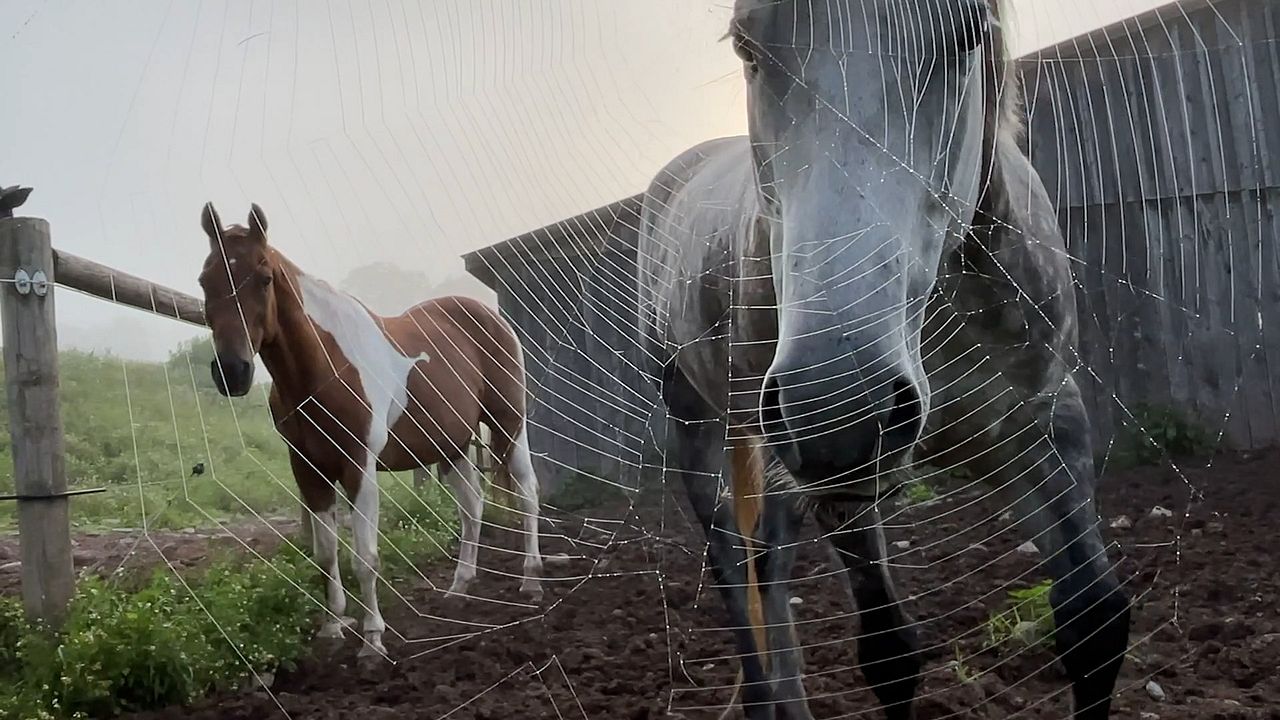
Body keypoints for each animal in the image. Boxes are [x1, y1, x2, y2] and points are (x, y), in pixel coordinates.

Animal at [196, 202, 544, 659]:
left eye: (264, 277)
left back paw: (531, 578)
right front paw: (332, 626)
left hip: (508, 426)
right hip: (450, 446)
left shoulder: (358, 468)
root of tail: (489, 315)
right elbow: (325, 554)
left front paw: (373, 638)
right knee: (473, 505)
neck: (325, 367)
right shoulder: (309, 471)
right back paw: (459, 586)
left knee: (526, 492)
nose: (232, 372)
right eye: (205, 279)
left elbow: (366, 556)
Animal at [636, 1, 1131, 718]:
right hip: (699, 425)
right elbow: (890, 655)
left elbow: (1095, 622)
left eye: (968, 32)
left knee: (768, 563)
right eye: (747, 47)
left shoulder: (1046, 424)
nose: (838, 409)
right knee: (732, 565)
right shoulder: (840, 485)